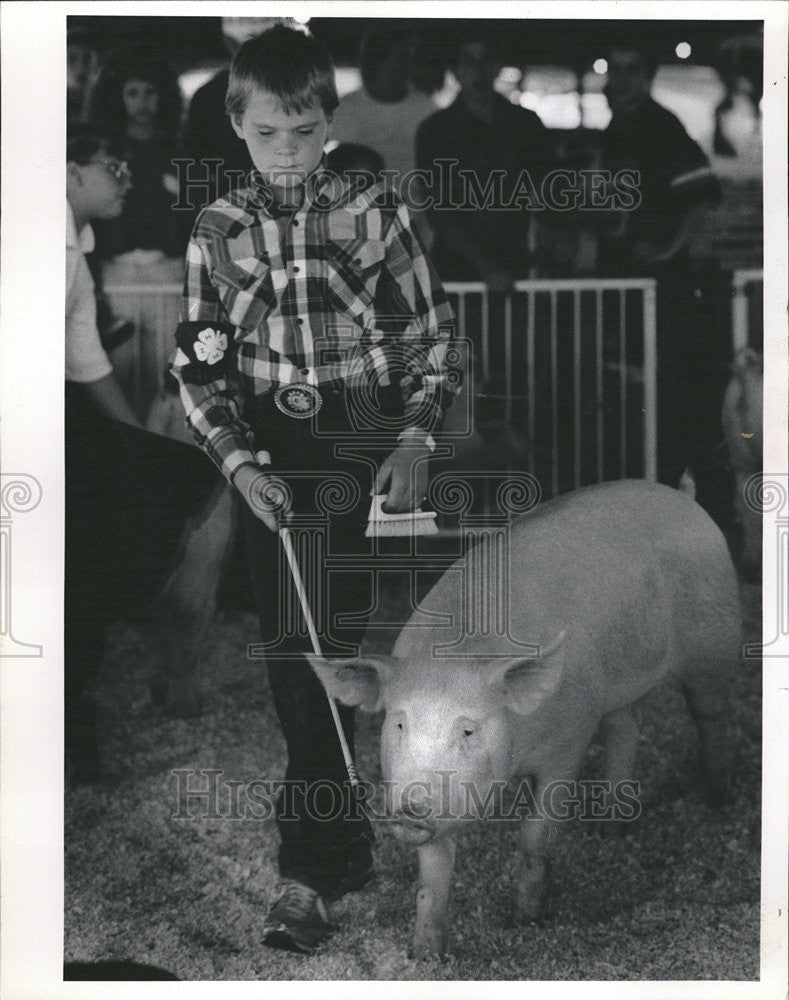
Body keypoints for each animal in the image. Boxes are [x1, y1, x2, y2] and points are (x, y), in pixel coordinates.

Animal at [310, 480, 740, 956]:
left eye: (468, 729)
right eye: (400, 723)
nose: (409, 807)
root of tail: (680, 496)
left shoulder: (569, 742)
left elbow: (536, 837)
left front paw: (525, 921)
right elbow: (433, 875)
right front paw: (425, 954)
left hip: (714, 637)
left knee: (711, 712)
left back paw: (721, 796)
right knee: (626, 726)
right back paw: (609, 826)